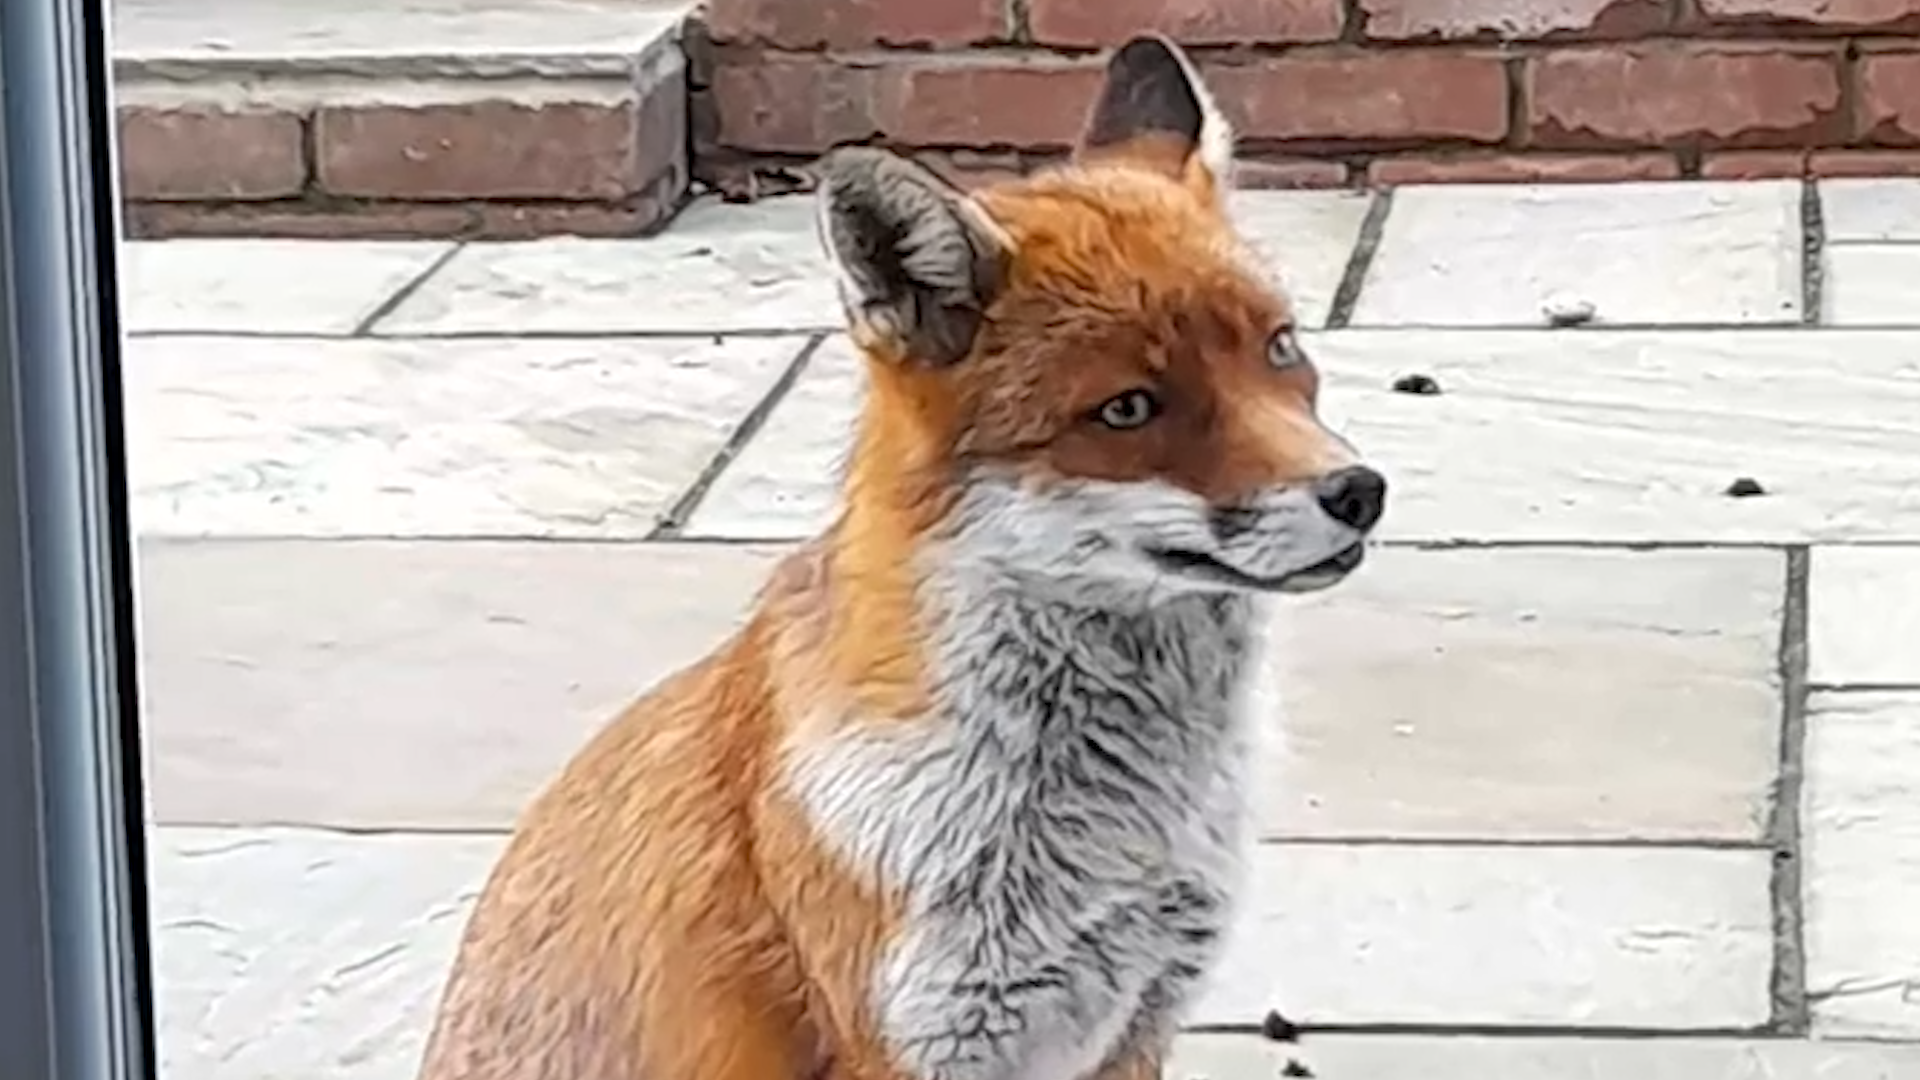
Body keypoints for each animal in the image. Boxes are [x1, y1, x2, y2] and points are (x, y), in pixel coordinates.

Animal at [415, 33, 1388, 1080]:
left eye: (1280, 349)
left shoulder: (1139, 1015)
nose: (1359, 492)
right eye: (1128, 409)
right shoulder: (922, 1039)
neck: (1119, 825)